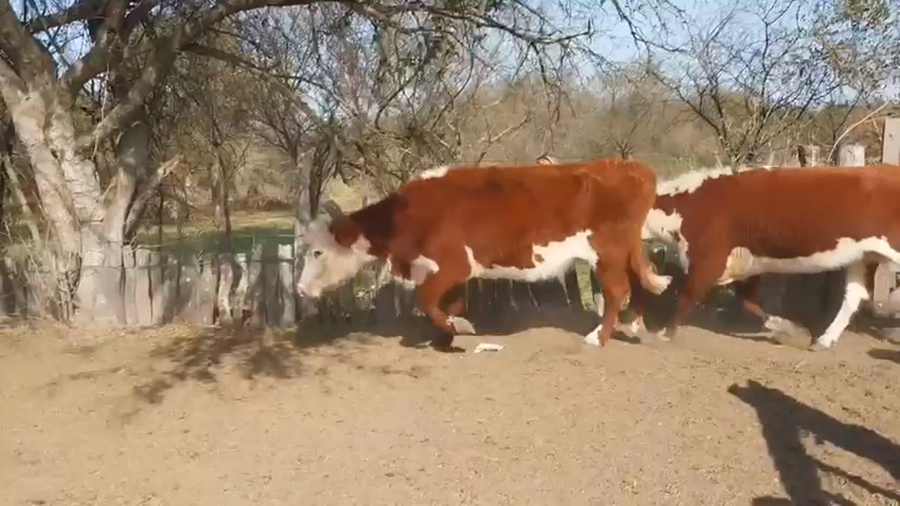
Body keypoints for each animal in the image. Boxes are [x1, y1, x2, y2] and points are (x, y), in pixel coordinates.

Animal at [295, 158, 673, 350]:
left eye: (317, 251)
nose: (299, 289)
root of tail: (633, 166)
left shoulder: (453, 264)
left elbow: (426, 299)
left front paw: (453, 328)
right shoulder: (451, 272)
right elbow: (449, 301)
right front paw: (450, 331)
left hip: (607, 252)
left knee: (618, 291)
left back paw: (599, 337)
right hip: (623, 251)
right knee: (639, 285)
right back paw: (636, 327)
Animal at [625, 164, 900, 351]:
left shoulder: (708, 259)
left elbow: (687, 296)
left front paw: (664, 333)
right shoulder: (745, 264)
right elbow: (748, 301)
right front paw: (788, 328)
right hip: (862, 256)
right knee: (853, 296)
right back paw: (824, 339)